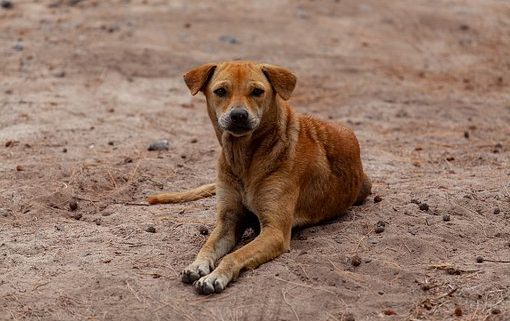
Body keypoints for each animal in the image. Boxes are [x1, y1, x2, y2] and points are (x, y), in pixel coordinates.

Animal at [147, 60, 370, 292]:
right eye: (220, 91)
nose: (238, 115)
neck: (244, 159)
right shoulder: (228, 220)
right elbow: (207, 245)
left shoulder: (275, 231)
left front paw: (215, 276)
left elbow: (234, 256)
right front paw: (197, 265)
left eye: (257, 91)